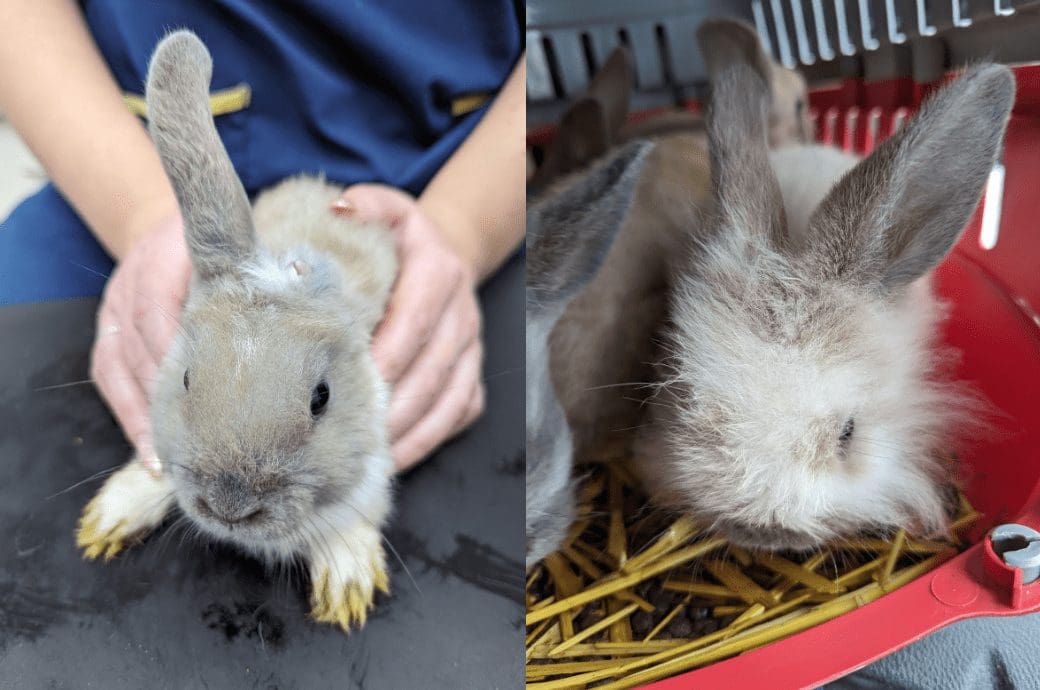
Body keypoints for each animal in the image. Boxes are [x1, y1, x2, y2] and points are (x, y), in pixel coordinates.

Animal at [75, 31, 397, 632]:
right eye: (184, 379)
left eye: (322, 398)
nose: (229, 507)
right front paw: (107, 521)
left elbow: (355, 510)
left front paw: (347, 586)